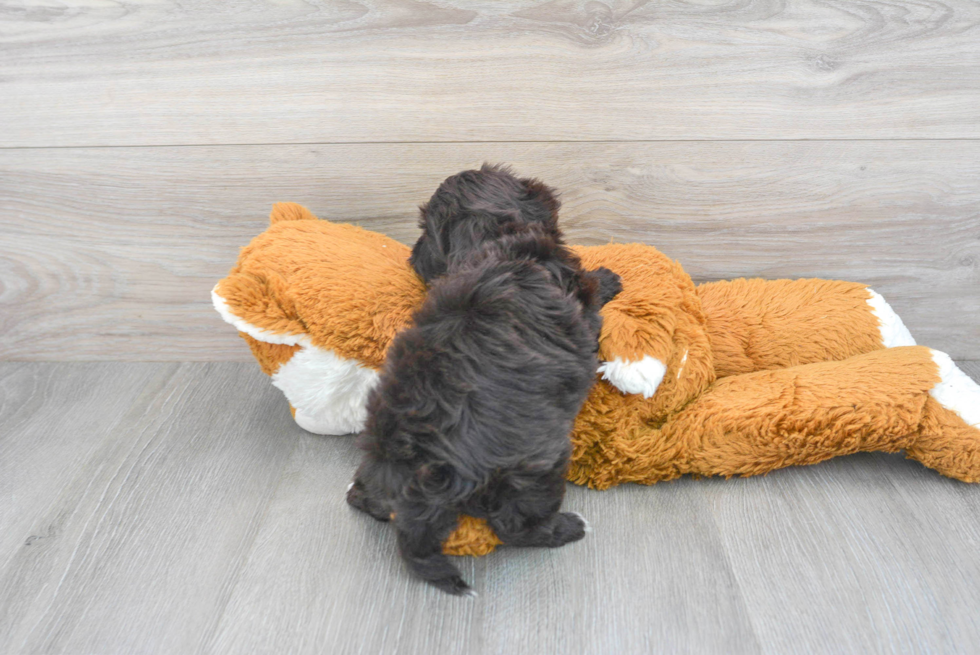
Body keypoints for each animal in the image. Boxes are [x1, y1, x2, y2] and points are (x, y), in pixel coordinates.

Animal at [344, 168, 620, 596]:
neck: (489, 243)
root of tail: (423, 464)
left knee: (367, 497)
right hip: (536, 466)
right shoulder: (579, 302)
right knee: (516, 526)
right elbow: (592, 298)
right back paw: (568, 528)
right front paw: (607, 278)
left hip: (377, 454)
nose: (413, 255)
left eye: (426, 230)